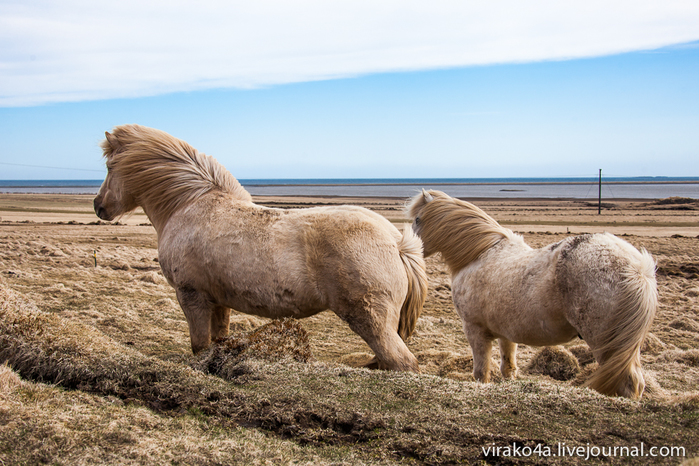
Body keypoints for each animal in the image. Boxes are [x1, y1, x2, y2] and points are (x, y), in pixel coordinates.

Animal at [95, 124, 430, 372]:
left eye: (110, 167)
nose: (99, 206)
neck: (188, 205)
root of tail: (396, 243)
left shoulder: (192, 296)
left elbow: (199, 346)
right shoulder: (218, 301)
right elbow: (217, 340)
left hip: (372, 322)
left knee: (403, 363)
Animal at [408, 189, 660, 396]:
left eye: (418, 219)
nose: (410, 246)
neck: (479, 254)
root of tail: (637, 267)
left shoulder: (475, 330)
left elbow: (481, 373)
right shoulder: (505, 334)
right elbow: (508, 367)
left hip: (607, 343)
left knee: (628, 384)